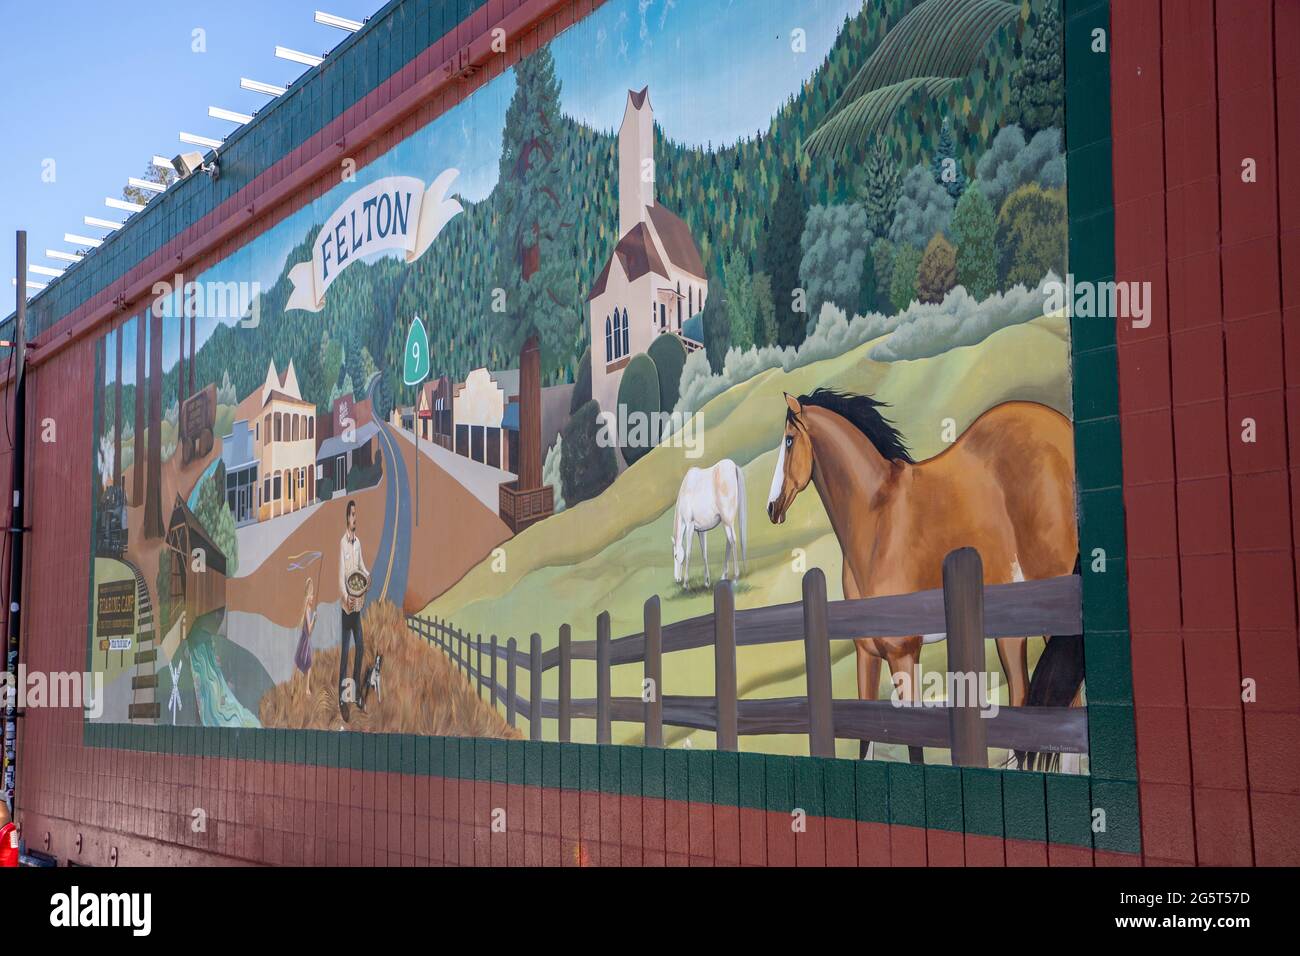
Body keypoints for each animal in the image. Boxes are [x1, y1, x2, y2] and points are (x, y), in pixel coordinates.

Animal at [764, 390, 1081, 764]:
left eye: (789, 440)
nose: (771, 508)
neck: (877, 519)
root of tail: (1062, 429)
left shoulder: (903, 652)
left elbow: (914, 741)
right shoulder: (867, 654)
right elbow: (864, 738)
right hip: (1011, 629)